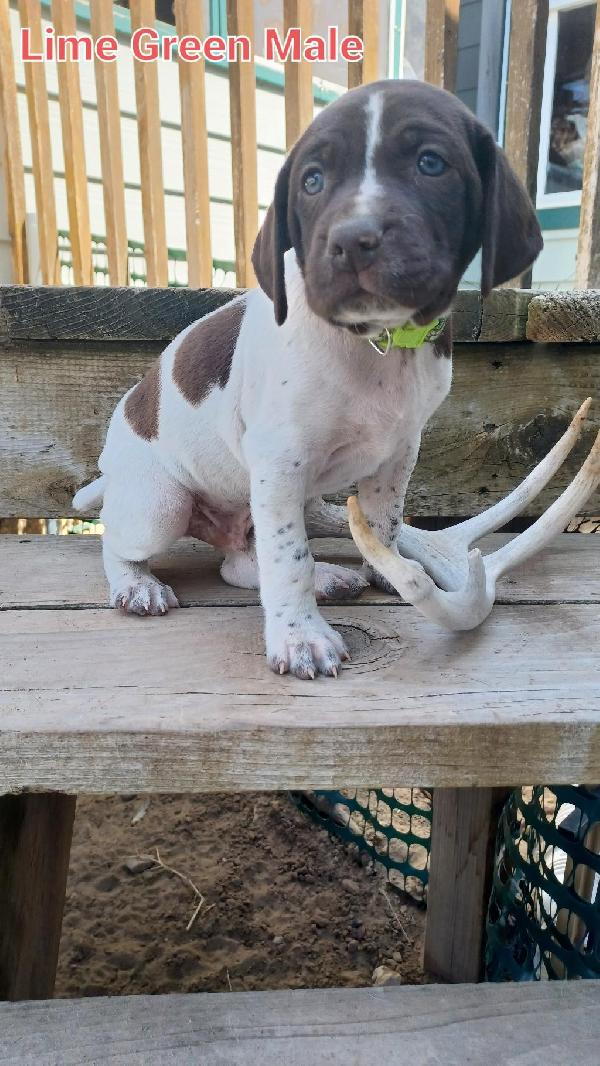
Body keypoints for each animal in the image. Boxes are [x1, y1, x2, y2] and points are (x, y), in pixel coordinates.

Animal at [73, 83, 541, 682]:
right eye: (312, 180)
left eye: (430, 164)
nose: (353, 240)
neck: (377, 343)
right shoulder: (281, 462)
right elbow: (288, 559)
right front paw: (300, 637)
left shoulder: (398, 453)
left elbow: (381, 525)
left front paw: (387, 570)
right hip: (162, 505)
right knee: (122, 543)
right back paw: (138, 586)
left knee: (240, 563)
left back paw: (326, 576)